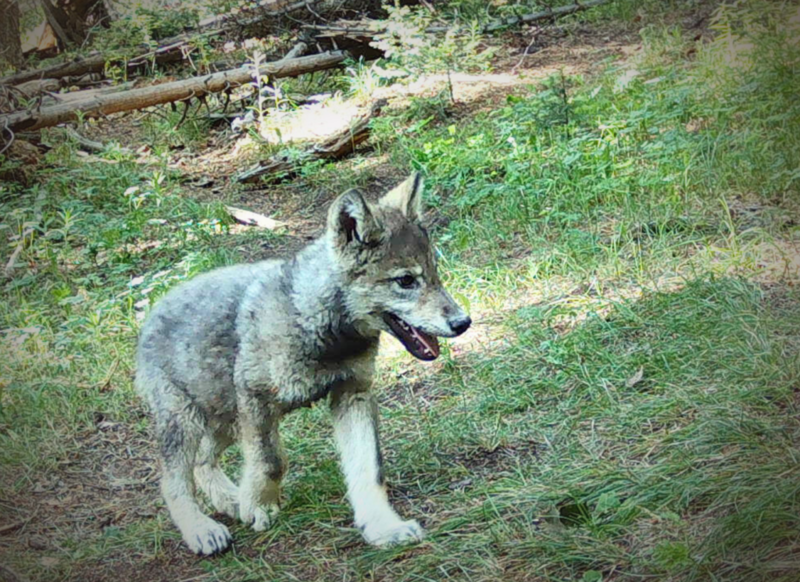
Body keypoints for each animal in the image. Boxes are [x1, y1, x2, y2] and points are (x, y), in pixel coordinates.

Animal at [135, 173, 471, 555]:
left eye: (435, 274)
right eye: (406, 281)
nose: (463, 322)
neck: (313, 322)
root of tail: (153, 309)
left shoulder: (352, 394)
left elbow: (369, 468)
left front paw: (383, 527)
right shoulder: (257, 398)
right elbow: (271, 461)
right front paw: (259, 505)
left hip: (224, 419)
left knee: (204, 462)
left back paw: (231, 501)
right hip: (189, 420)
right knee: (172, 480)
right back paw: (201, 529)